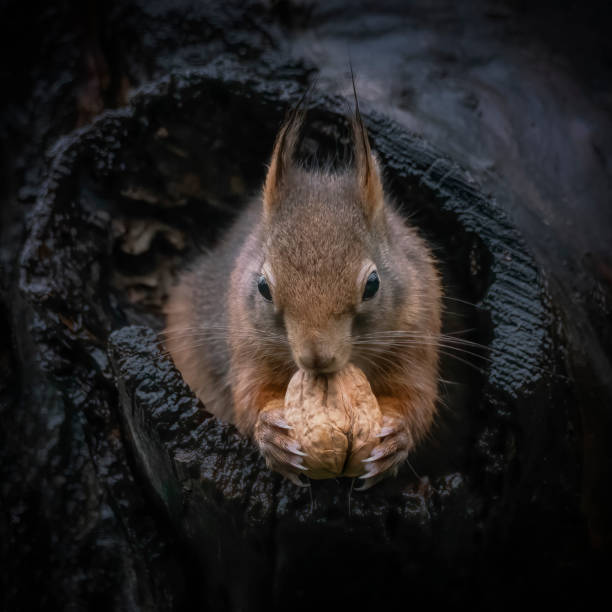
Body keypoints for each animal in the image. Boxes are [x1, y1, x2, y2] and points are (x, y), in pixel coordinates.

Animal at [164, 97, 440, 488]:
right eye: (263, 286)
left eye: (373, 284)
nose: (316, 357)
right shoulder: (245, 338)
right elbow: (249, 394)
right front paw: (271, 434)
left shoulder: (417, 331)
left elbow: (416, 395)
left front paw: (396, 439)